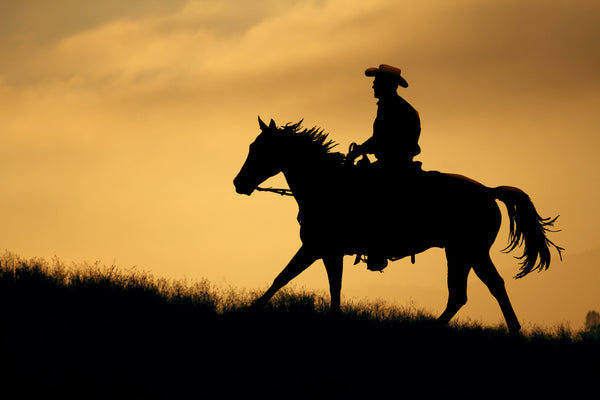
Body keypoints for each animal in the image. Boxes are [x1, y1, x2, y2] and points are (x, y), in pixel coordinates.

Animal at [233, 118, 564, 334]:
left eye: (259, 148)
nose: (239, 183)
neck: (326, 186)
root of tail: (488, 191)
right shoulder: (328, 251)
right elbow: (331, 287)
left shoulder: (316, 247)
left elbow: (282, 278)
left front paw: (246, 313)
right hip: (461, 253)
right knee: (468, 292)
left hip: (470, 251)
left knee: (484, 288)